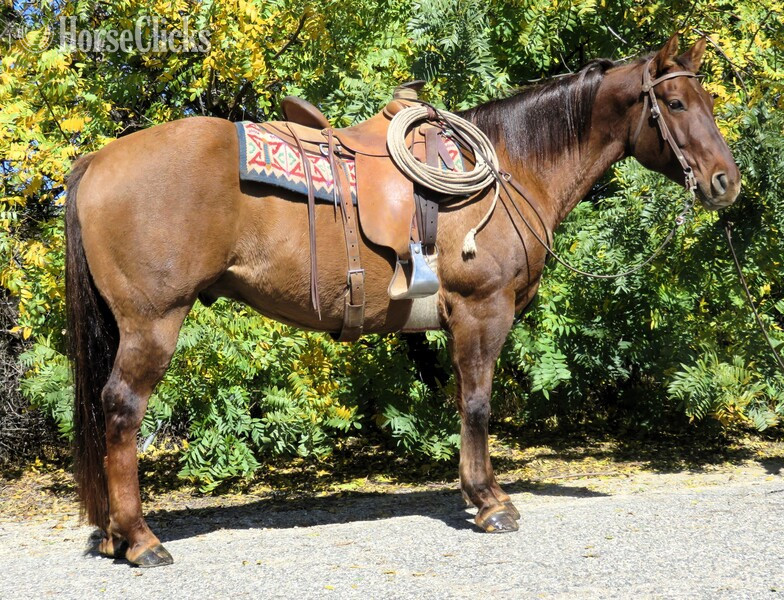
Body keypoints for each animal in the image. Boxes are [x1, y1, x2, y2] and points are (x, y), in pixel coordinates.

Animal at [65, 34, 740, 566]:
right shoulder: (481, 310)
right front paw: (490, 502)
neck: (513, 167)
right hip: (154, 322)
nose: (725, 182)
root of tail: (98, 159)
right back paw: (141, 540)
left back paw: (114, 538)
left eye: (707, 101)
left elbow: (466, 403)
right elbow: (477, 405)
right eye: (675, 104)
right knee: (122, 409)